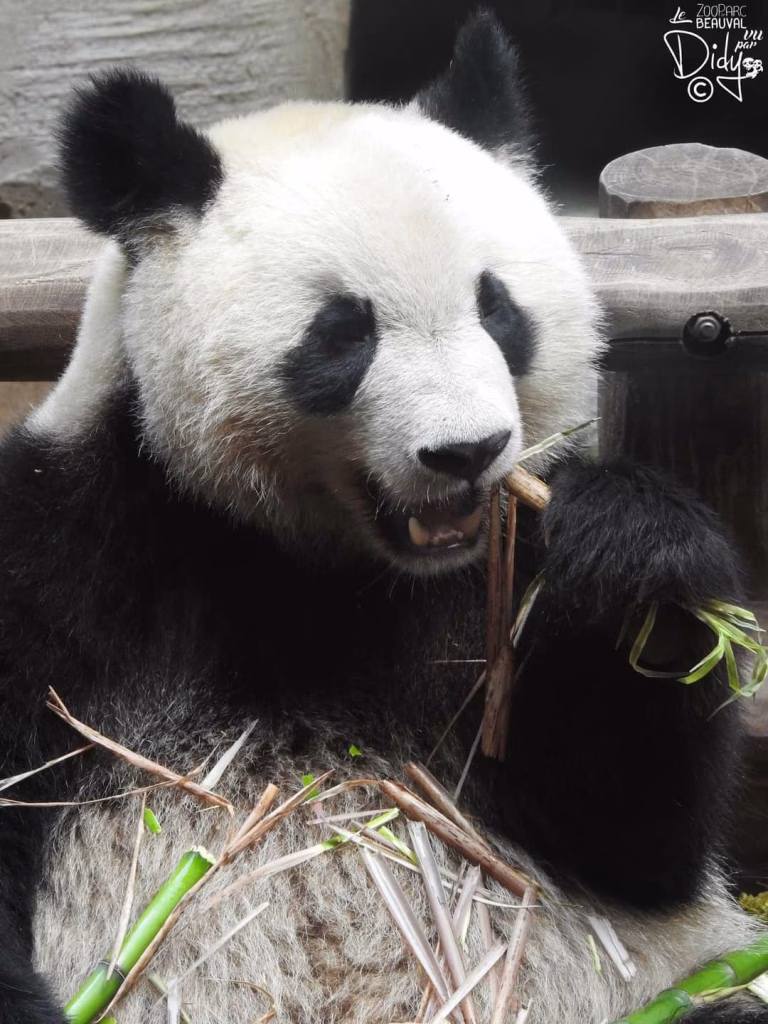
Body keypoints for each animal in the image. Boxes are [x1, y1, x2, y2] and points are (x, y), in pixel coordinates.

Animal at [0, 11, 765, 1024]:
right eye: (343, 332)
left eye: (498, 307)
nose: (468, 450)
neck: (310, 566)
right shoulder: (67, 561)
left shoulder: (493, 599)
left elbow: (631, 835)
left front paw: (632, 547)